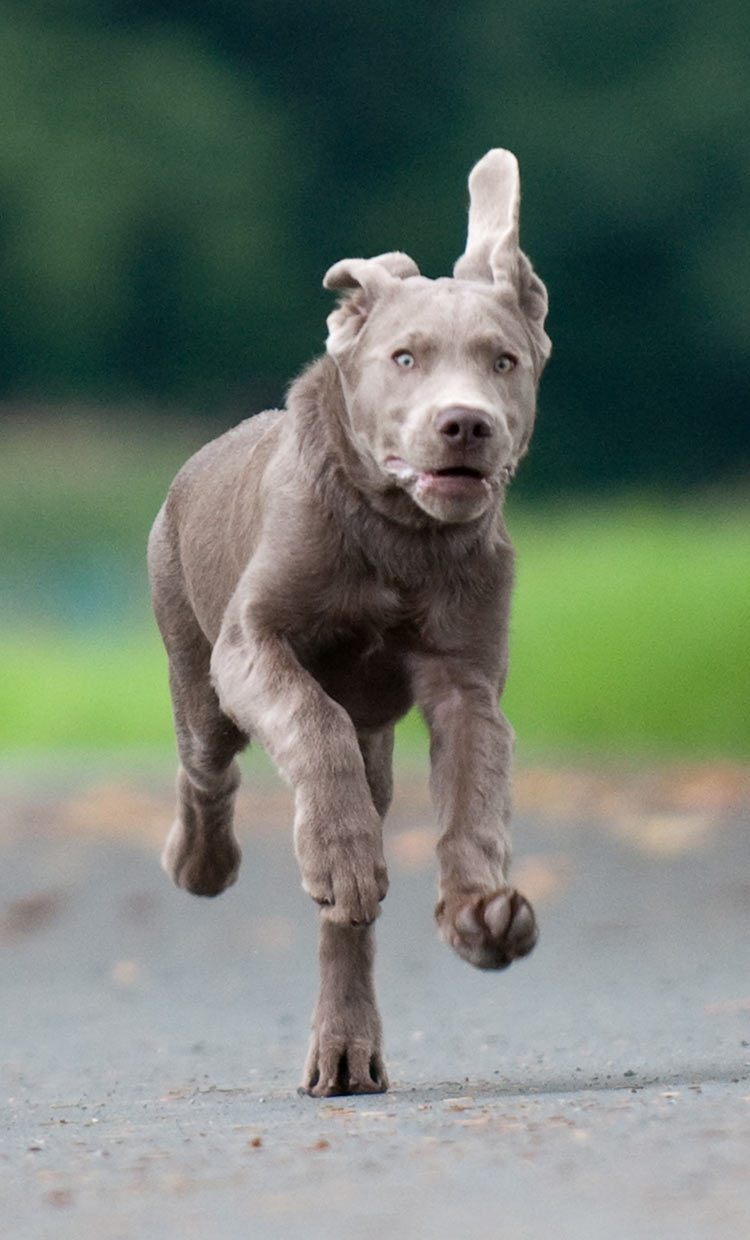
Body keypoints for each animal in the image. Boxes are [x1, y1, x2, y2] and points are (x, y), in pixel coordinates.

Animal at [147, 147, 550, 1096]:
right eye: (404, 357)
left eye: (504, 361)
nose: (465, 424)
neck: (399, 540)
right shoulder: (253, 644)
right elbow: (313, 716)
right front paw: (337, 854)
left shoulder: (466, 682)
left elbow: (476, 795)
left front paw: (481, 912)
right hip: (195, 671)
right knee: (208, 773)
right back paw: (205, 865)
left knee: (346, 926)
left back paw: (346, 1049)